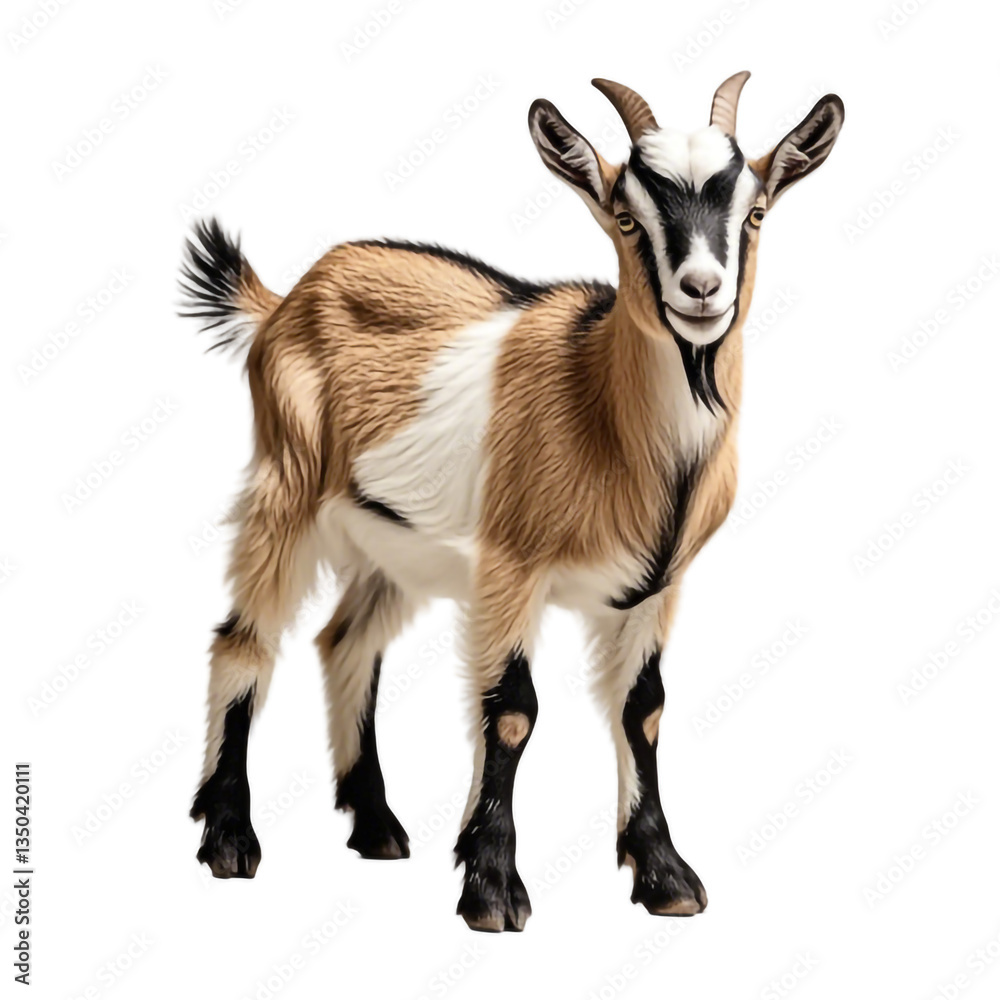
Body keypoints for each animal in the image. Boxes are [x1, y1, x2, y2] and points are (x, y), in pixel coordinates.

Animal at [180, 73, 844, 932]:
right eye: (626, 216)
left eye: (755, 212)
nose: (701, 292)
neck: (603, 407)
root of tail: (288, 297)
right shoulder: (511, 565)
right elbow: (512, 709)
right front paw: (492, 887)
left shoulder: (655, 585)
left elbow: (644, 709)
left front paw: (664, 874)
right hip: (285, 487)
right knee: (244, 641)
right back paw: (230, 838)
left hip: (395, 541)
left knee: (345, 643)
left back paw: (377, 825)